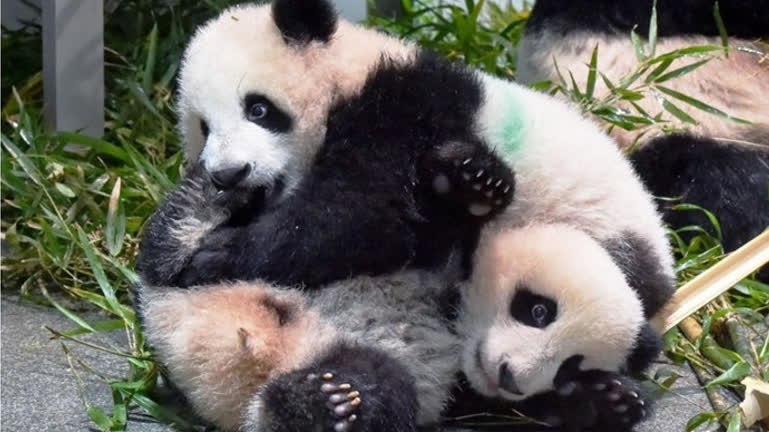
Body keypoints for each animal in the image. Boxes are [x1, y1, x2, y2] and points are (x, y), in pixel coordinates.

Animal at [137, 0, 675, 320]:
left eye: (259, 109)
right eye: (203, 127)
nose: (229, 174)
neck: (346, 75)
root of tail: (665, 265)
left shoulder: (399, 111)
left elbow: (359, 217)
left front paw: (215, 255)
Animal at [139, 224, 656, 432]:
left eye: (570, 366)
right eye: (538, 311)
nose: (510, 376)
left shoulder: (462, 386)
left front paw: (610, 400)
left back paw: (317, 403)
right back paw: (318, 405)